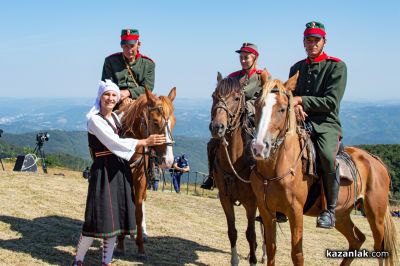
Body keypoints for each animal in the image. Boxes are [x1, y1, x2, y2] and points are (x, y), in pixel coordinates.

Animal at [115, 88, 176, 256]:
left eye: (174, 123)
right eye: (155, 122)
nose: (168, 161)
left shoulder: (141, 179)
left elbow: (138, 210)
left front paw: (140, 245)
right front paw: (120, 244)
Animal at [208, 71, 268, 264]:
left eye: (236, 97)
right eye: (214, 96)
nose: (217, 127)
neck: (234, 160)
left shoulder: (252, 201)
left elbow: (251, 234)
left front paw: (253, 260)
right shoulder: (225, 198)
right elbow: (232, 231)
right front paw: (235, 260)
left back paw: (263, 254)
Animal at [250, 73, 396, 266]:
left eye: (282, 109)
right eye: (258, 105)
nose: (259, 147)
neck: (274, 169)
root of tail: (375, 161)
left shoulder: (295, 212)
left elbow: (297, 254)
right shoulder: (266, 211)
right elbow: (272, 248)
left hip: (375, 215)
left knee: (380, 248)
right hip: (342, 214)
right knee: (357, 239)